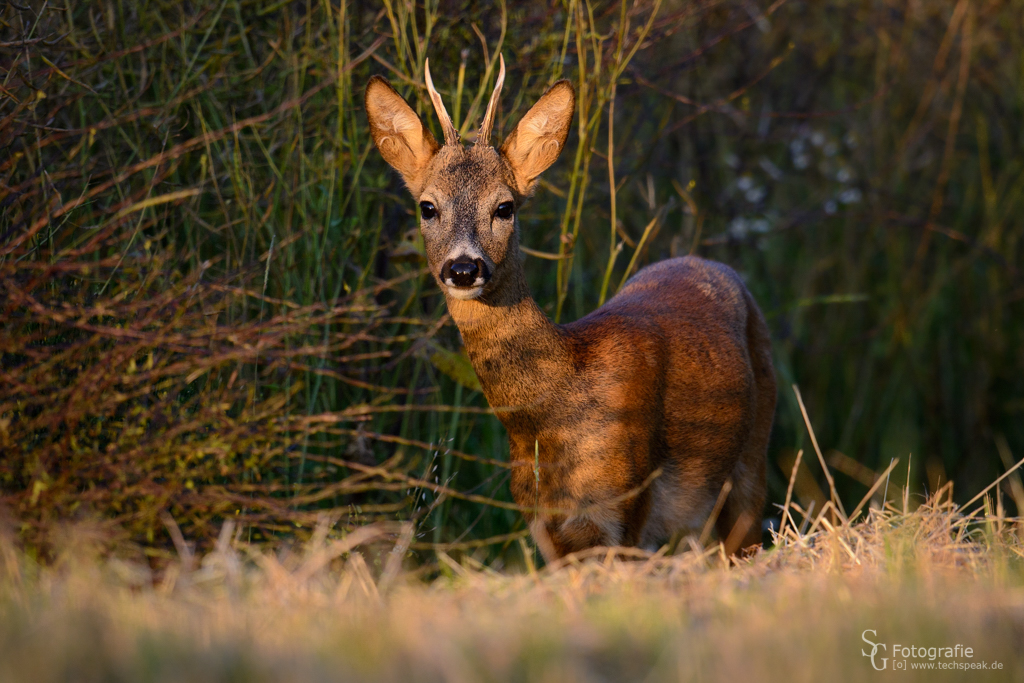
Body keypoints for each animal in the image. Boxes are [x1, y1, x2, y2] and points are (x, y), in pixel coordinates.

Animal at [368, 57, 774, 561]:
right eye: (427, 207)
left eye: (504, 207)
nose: (463, 268)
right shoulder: (545, 524)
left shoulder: (629, 504)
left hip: (752, 457)